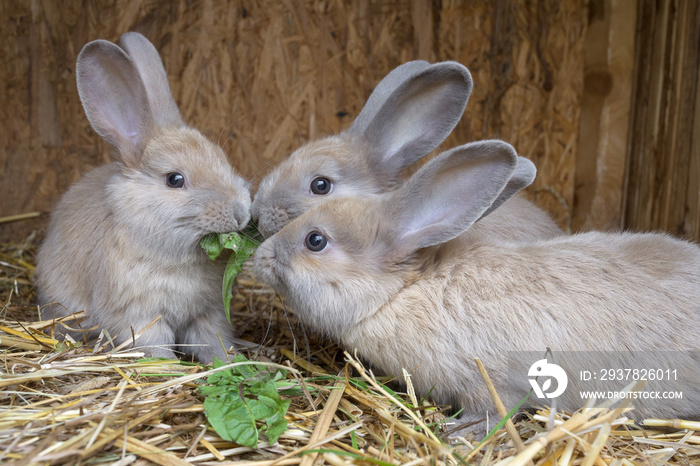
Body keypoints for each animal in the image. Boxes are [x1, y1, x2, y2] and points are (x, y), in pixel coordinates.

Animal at [34, 32, 252, 364]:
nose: (240, 212)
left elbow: (214, 342)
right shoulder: (140, 316)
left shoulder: (207, 314)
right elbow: (155, 347)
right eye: (175, 180)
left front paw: (231, 363)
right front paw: (168, 368)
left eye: (222, 159)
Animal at [254, 138, 700, 434]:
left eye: (315, 240)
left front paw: (456, 432)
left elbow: (492, 409)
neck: (400, 293)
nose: (259, 256)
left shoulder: (490, 382)